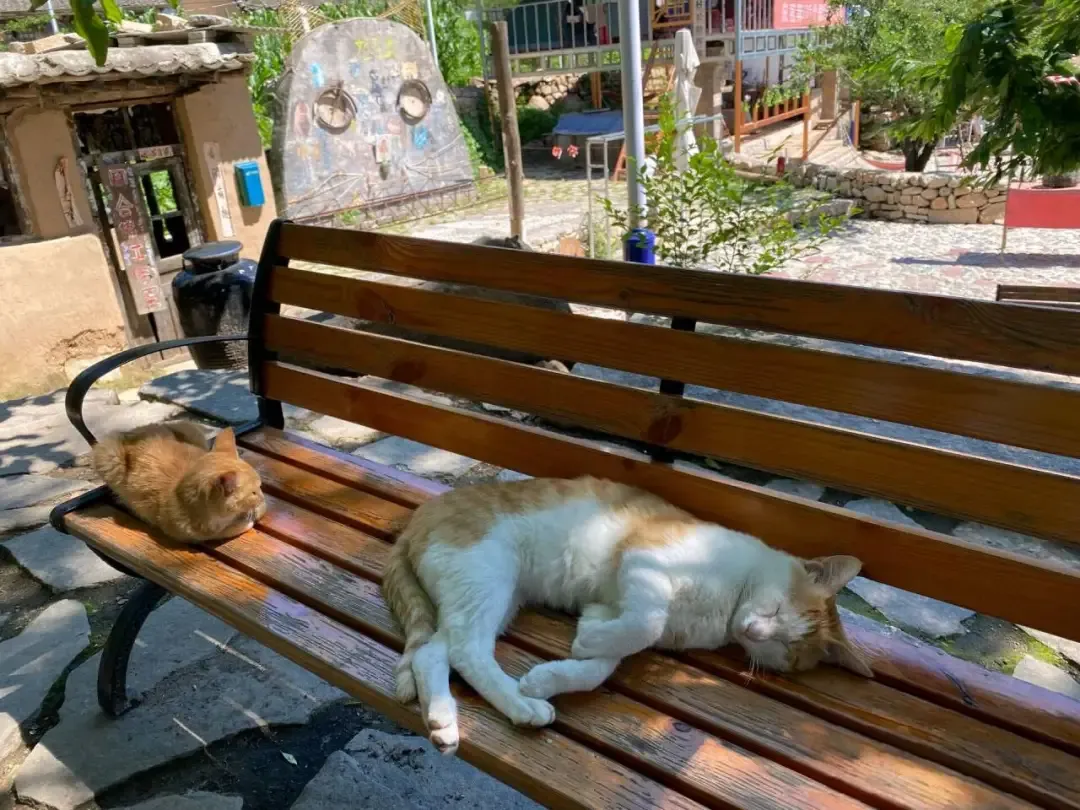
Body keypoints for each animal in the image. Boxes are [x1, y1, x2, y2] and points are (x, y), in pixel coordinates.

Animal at [90, 424, 266, 544]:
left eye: (260, 486)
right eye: (253, 492)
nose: (263, 497)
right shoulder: (186, 533)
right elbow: (226, 531)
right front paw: (247, 519)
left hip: (191, 428)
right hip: (107, 456)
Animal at [383, 476, 872, 755]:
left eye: (783, 647)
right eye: (775, 608)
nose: (753, 629)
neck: (728, 603)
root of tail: (417, 517)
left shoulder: (607, 607)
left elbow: (601, 666)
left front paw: (556, 672)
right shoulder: (643, 561)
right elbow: (646, 622)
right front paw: (571, 657)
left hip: (489, 596)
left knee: (433, 653)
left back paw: (443, 719)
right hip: (489, 572)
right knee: (466, 651)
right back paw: (520, 705)